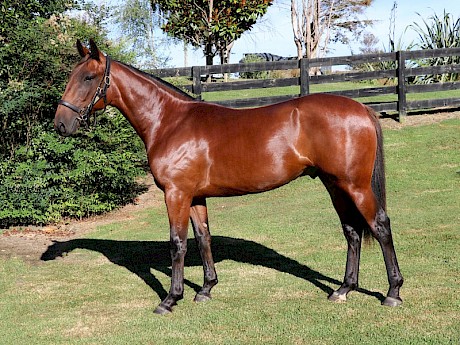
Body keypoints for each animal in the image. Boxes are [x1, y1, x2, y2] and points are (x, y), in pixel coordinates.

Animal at [54, 39, 402, 314]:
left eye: (88, 77)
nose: (60, 124)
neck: (169, 121)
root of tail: (362, 109)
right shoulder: (195, 196)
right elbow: (203, 238)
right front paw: (206, 289)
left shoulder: (176, 193)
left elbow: (177, 243)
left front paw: (170, 299)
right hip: (335, 185)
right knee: (352, 231)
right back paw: (343, 289)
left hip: (355, 186)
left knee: (380, 225)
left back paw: (393, 292)